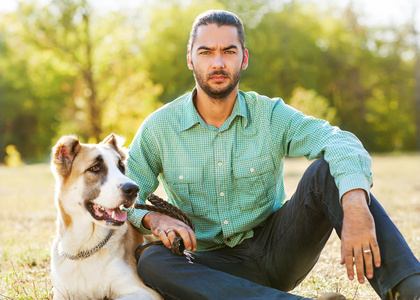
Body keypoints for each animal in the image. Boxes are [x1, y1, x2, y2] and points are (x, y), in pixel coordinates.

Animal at [49, 134, 161, 300]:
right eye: (95, 168)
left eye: (121, 168)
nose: (134, 189)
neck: (84, 248)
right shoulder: (61, 294)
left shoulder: (145, 292)